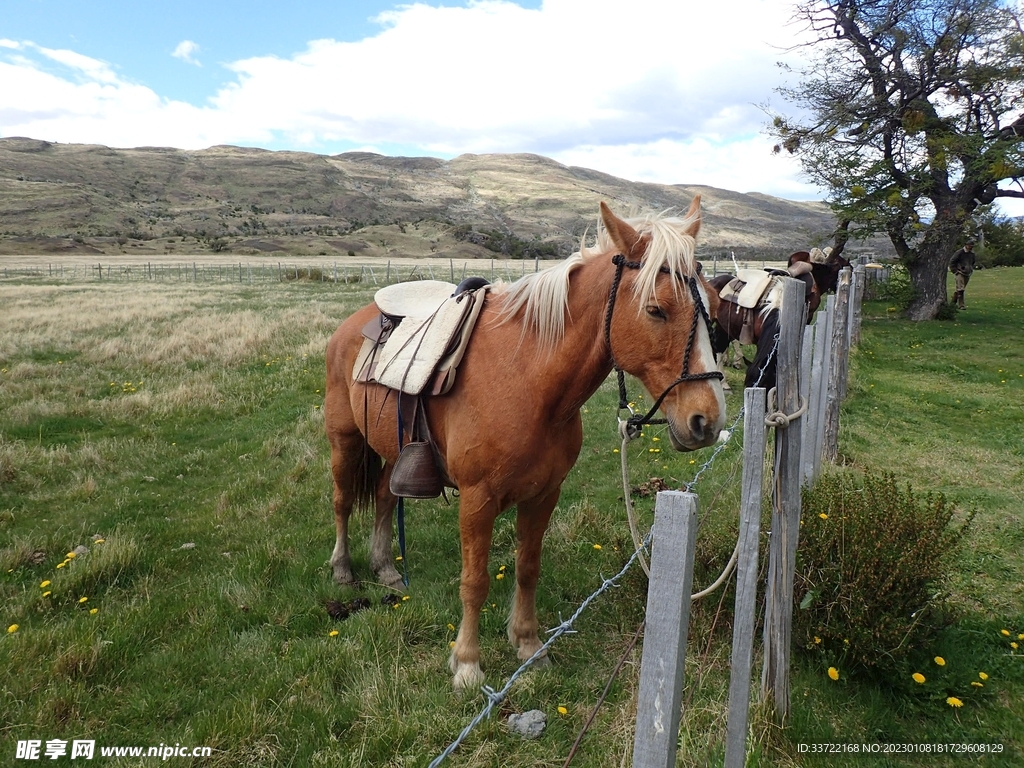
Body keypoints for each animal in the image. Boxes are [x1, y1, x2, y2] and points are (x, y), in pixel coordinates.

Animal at [324, 198, 727, 691]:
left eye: (714, 308)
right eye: (656, 310)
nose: (707, 420)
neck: (529, 379)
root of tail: (353, 323)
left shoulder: (544, 494)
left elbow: (527, 568)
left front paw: (529, 646)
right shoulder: (476, 501)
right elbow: (475, 580)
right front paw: (468, 664)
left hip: (393, 449)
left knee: (383, 497)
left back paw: (385, 568)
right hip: (344, 442)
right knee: (343, 500)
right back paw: (343, 569)